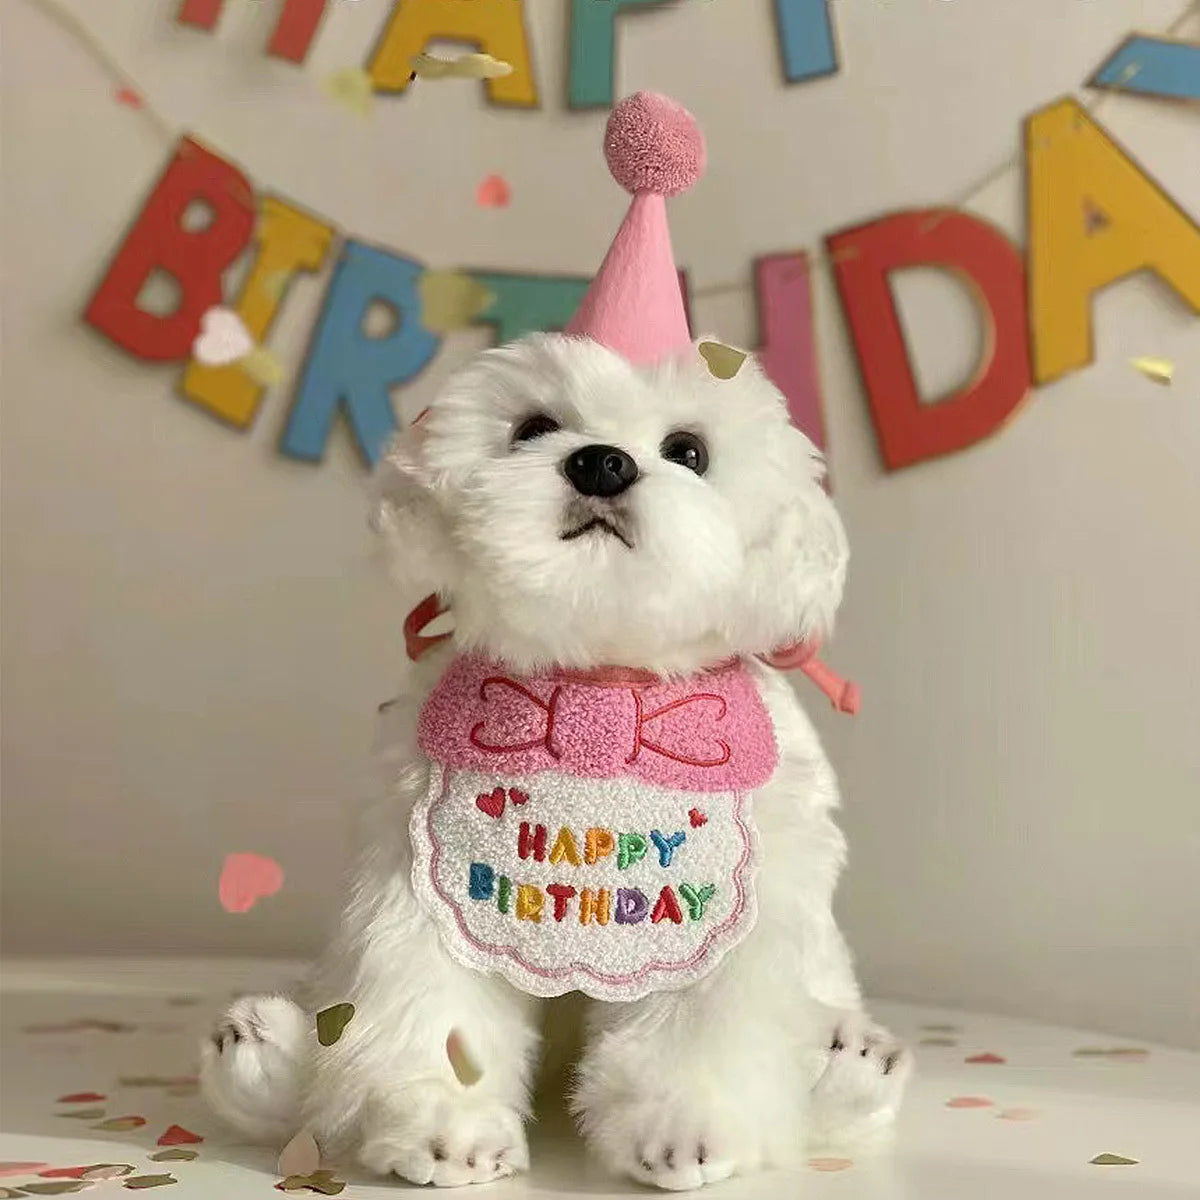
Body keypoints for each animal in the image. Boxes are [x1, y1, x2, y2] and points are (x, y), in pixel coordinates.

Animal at [201, 331, 907, 1190]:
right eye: (533, 428)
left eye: (689, 451)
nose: (602, 462)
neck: (596, 687)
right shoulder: (428, 889)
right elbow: (435, 1013)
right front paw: (445, 1123)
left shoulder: (720, 919)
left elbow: (697, 1028)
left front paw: (682, 1125)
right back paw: (263, 1050)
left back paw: (851, 1060)